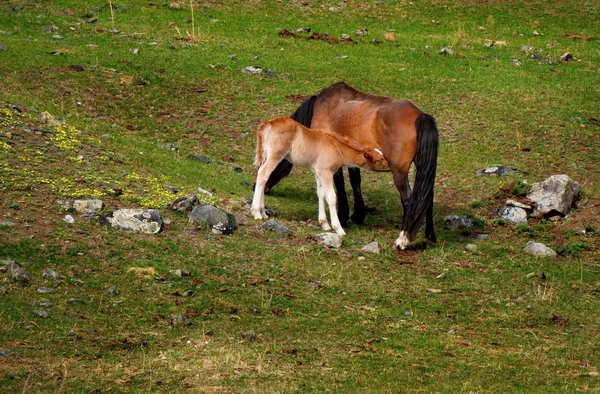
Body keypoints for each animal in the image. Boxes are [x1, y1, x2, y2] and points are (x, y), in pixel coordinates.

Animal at [264, 82, 438, 249]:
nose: (261, 186)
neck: (323, 105)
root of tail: (421, 116)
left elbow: (339, 183)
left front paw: (343, 215)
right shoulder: (354, 156)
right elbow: (355, 181)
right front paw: (358, 214)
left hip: (399, 173)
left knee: (409, 200)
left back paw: (403, 239)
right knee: (427, 199)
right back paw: (430, 237)